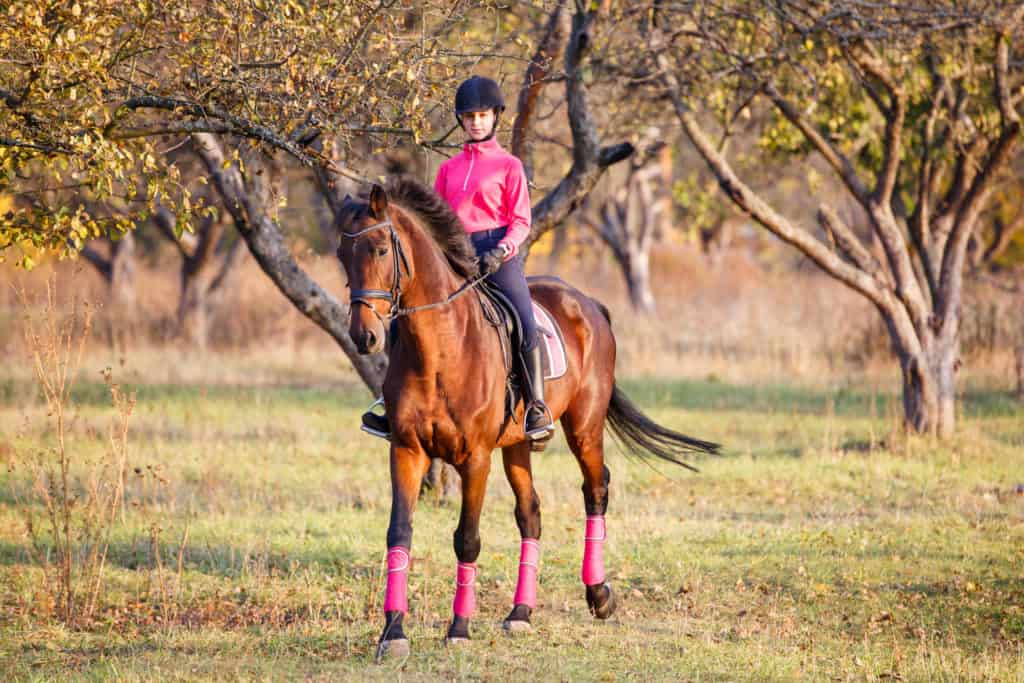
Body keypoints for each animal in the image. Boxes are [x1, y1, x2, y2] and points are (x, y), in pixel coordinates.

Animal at [335, 177, 719, 659]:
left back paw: (599, 595)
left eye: (382, 249)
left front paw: (459, 629)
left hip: (584, 428)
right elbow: (399, 533)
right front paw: (394, 633)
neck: (440, 348)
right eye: (342, 254)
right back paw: (521, 613)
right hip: (517, 444)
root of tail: (587, 303)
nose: (364, 337)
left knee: (596, 489)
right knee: (531, 513)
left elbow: (467, 538)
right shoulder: (406, 450)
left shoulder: (475, 458)